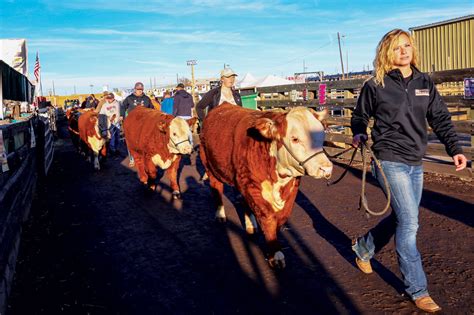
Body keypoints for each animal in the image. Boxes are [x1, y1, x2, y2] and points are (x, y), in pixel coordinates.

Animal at [200, 103, 334, 270]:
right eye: (295, 139)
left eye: (321, 135)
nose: (326, 169)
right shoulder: (252, 185)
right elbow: (268, 217)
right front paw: (274, 254)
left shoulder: (292, 188)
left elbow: (282, 217)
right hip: (210, 166)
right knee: (216, 188)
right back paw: (220, 214)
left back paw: (250, 225)